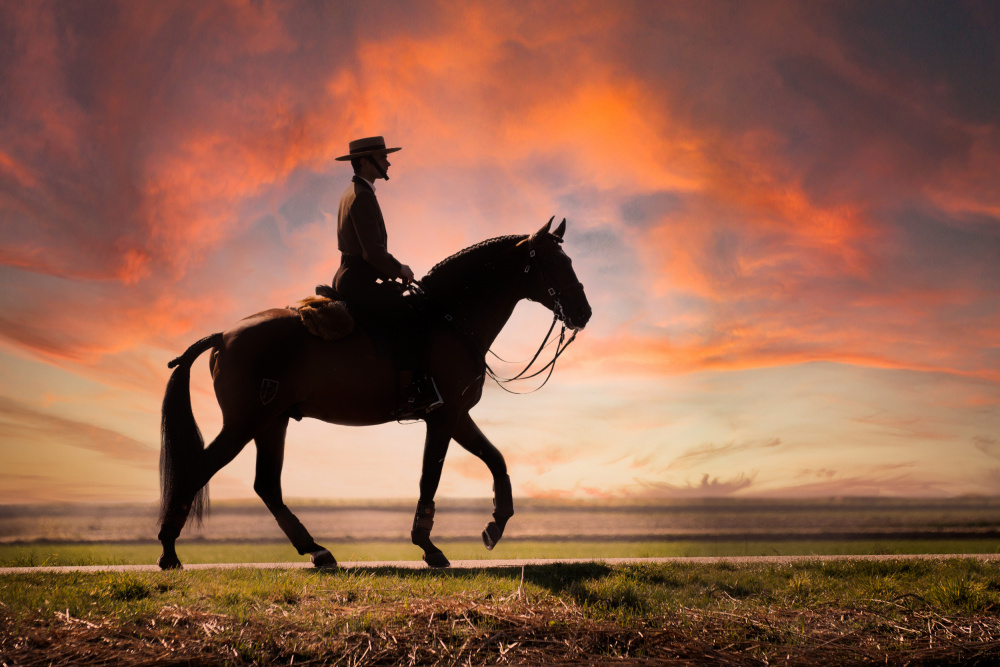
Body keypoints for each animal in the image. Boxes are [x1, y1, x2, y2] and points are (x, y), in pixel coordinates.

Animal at [156, 218, 588, 568]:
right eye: (556, 262)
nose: (583, 313)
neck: (450, 317)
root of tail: (224, 334)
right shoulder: (443, 416)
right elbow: (431, 476)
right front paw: (428, 546)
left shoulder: (456, 415)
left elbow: (495, 460)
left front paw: (495, 525)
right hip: (245, 423)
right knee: (200, 472)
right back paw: (168, 551)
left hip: (272, 422)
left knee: (267, 486)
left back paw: (317, 551)